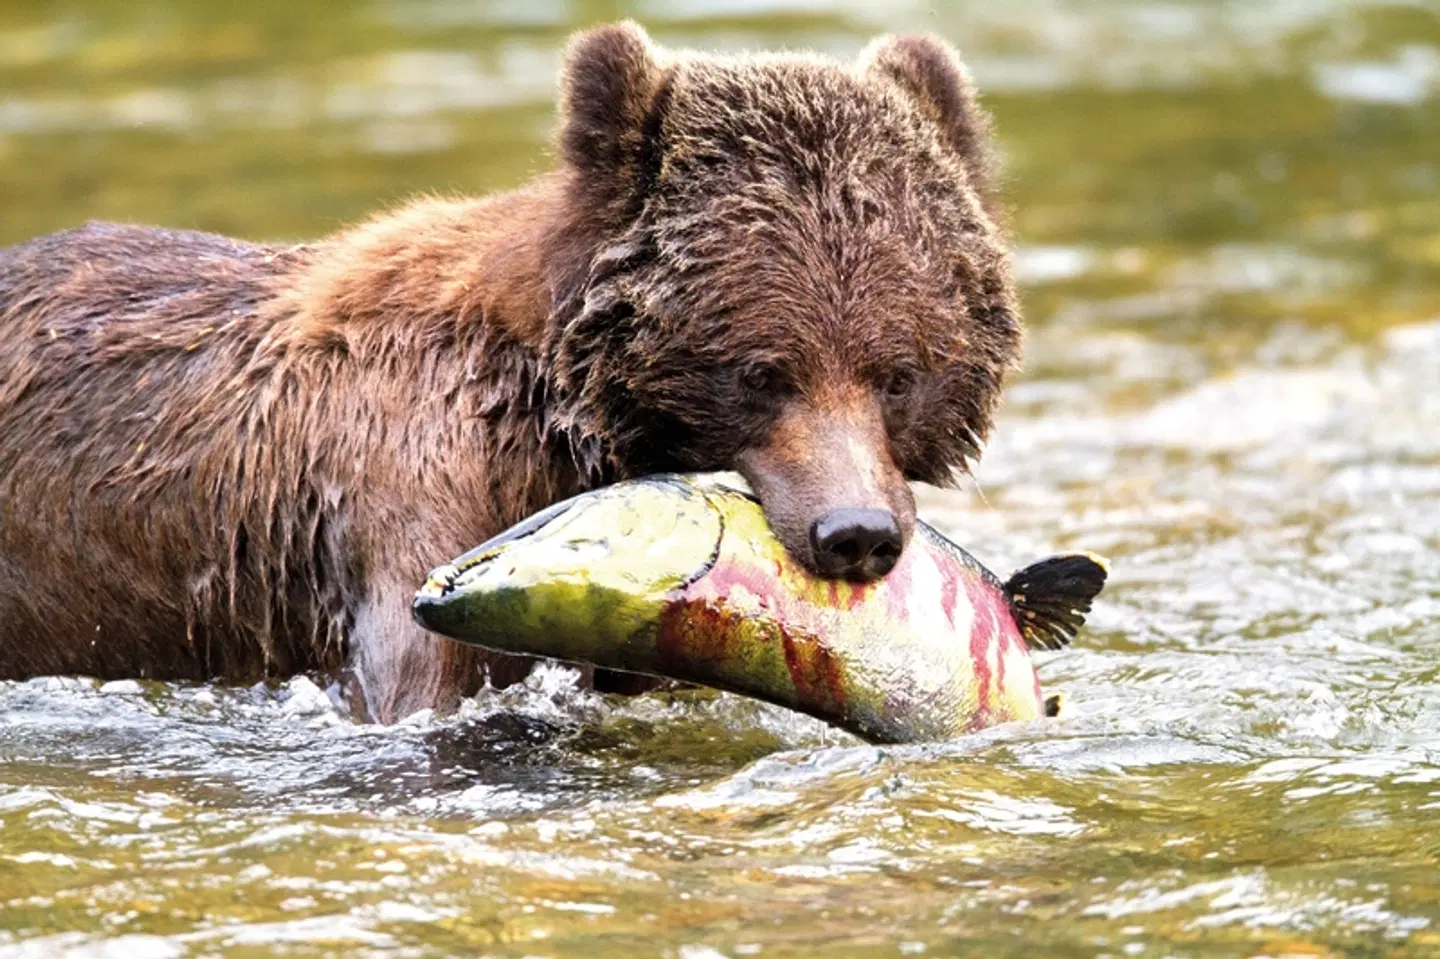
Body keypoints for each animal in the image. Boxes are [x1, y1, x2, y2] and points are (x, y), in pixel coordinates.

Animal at [0, 23, 1021, 722]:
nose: (856, 532)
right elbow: (424, 687)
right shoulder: (413, 499)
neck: (557, 406)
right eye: (763, 372)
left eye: (899, 371)